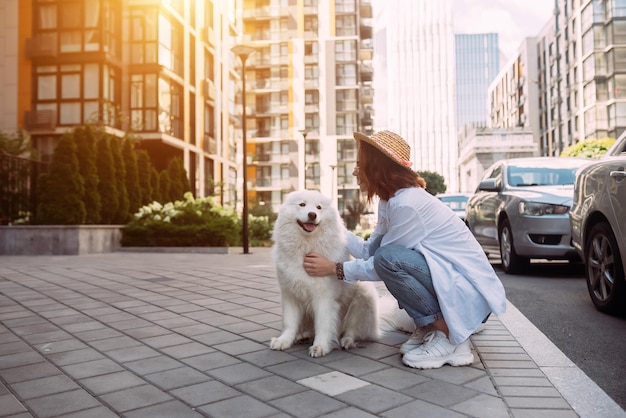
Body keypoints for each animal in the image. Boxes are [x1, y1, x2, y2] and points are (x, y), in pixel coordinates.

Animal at [270, 189, 380, 356]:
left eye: (319, 207)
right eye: (302, 204)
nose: (312, 215)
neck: (306, 247)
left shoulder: (324, 298)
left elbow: (323, 325)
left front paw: (320, 346)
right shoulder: (290, 295)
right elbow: (290, 322)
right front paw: (284, 341)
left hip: (363, 296)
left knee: (352, 330)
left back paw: (346, 341)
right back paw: (304, 336)